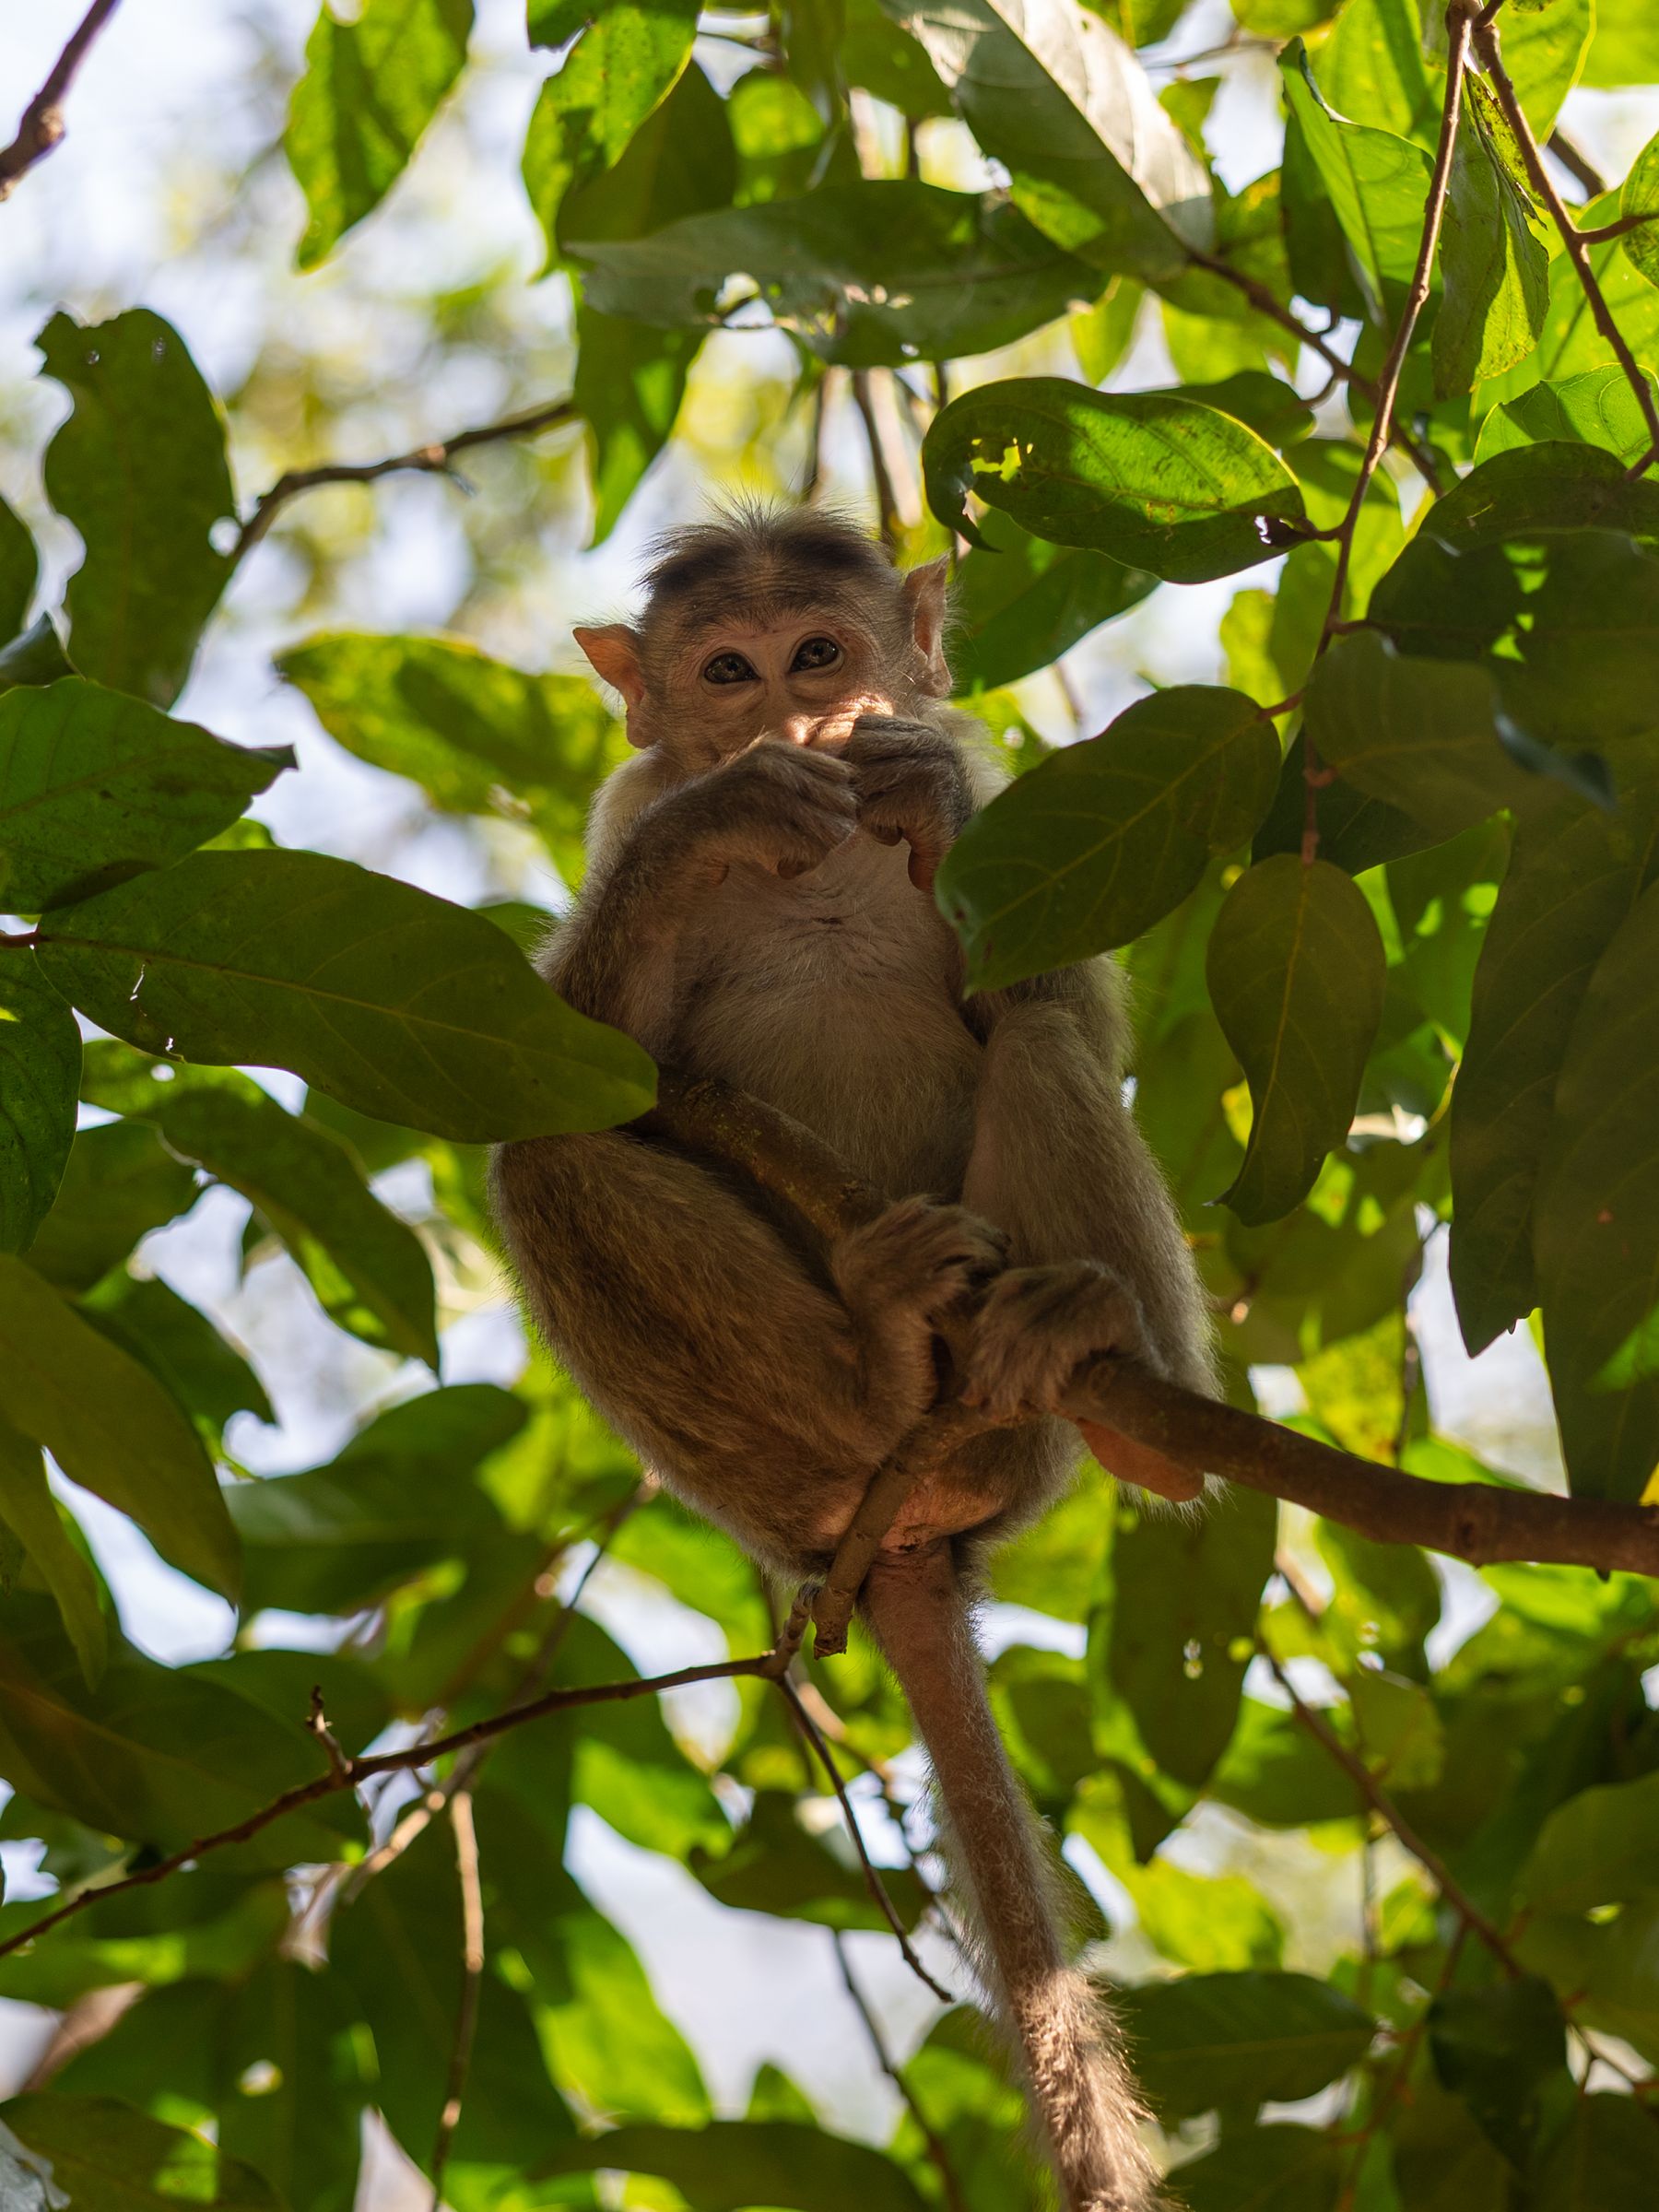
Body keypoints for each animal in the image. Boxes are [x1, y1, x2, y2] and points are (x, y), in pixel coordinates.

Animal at [490, 506, 1215, 2212]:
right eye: (726, 672)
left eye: (821, 654)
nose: (790, 721)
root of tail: (912, 1537)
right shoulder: (623, 806)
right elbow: (589, 1064)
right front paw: (728, 814)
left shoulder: (1009, 789)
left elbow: (1058, 990)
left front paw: (914, 804)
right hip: (771, 1483)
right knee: (543, 1154)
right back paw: (879, 1376)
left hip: (1029, 1440)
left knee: (1043, 1041)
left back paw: (1124, 1392)